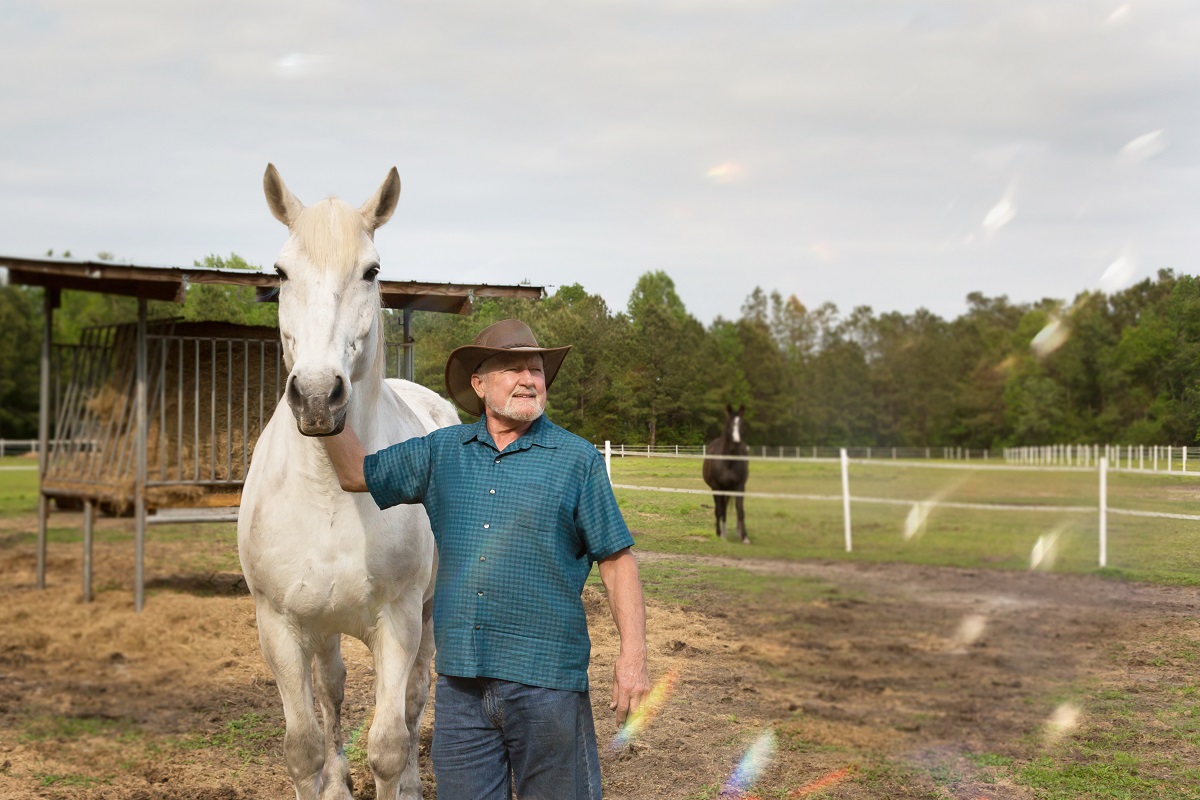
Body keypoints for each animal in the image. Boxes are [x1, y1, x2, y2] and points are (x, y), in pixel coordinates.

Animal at [238, 164, 459, 800]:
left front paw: (397, 778)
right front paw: (330, 778)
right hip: (324, 630)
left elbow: (387, 743)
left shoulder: (398, 621)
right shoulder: (279, 627)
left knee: (413, 699)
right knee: (333, 691)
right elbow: (304, 748)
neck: (328, 490)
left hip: (426, 616)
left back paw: (412, 780)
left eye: (372, 271)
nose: (317, 396)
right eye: (280, 273)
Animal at [702, 404, 750, 543]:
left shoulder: (739, 487)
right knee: (722, 509)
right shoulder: (716, 487)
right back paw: (723, 532)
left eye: (742, 424)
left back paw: (737, 532)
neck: (728, 462)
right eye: (729, 424)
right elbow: (719, 510)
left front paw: (744, 537)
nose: (736, 443)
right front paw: (720, 534)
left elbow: (740, 511)